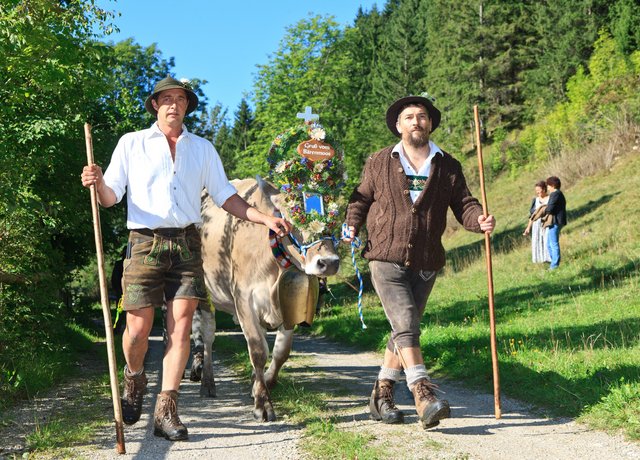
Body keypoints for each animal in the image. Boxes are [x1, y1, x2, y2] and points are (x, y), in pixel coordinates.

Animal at [199, 176, 340, 420]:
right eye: (291, 219)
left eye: (334, 218)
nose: (329, 262)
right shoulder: (243, 299)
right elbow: (257, 350)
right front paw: (263, 404)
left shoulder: (291, 302)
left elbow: (281, 352)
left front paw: (263, 384)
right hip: (204, 293)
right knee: (206, 335)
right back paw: (206, 381)